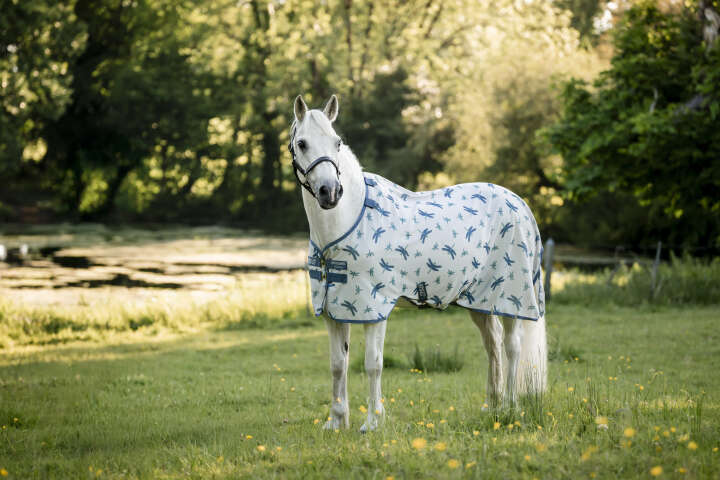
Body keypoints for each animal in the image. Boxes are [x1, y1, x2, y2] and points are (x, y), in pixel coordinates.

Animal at [290, 94, 547, 432]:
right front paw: (336, 421)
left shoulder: (375, 309)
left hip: (510, 298)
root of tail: (518, 202)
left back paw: (512, 408)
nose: (330, 192)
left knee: (511, 347)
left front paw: (372, 422)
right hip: (480, 300)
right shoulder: (334, 310)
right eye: (302, 143)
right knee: (492, 347)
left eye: (337, 142)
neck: (348, 221)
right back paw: (493, 407)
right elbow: (337, 364)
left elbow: (372, 364)